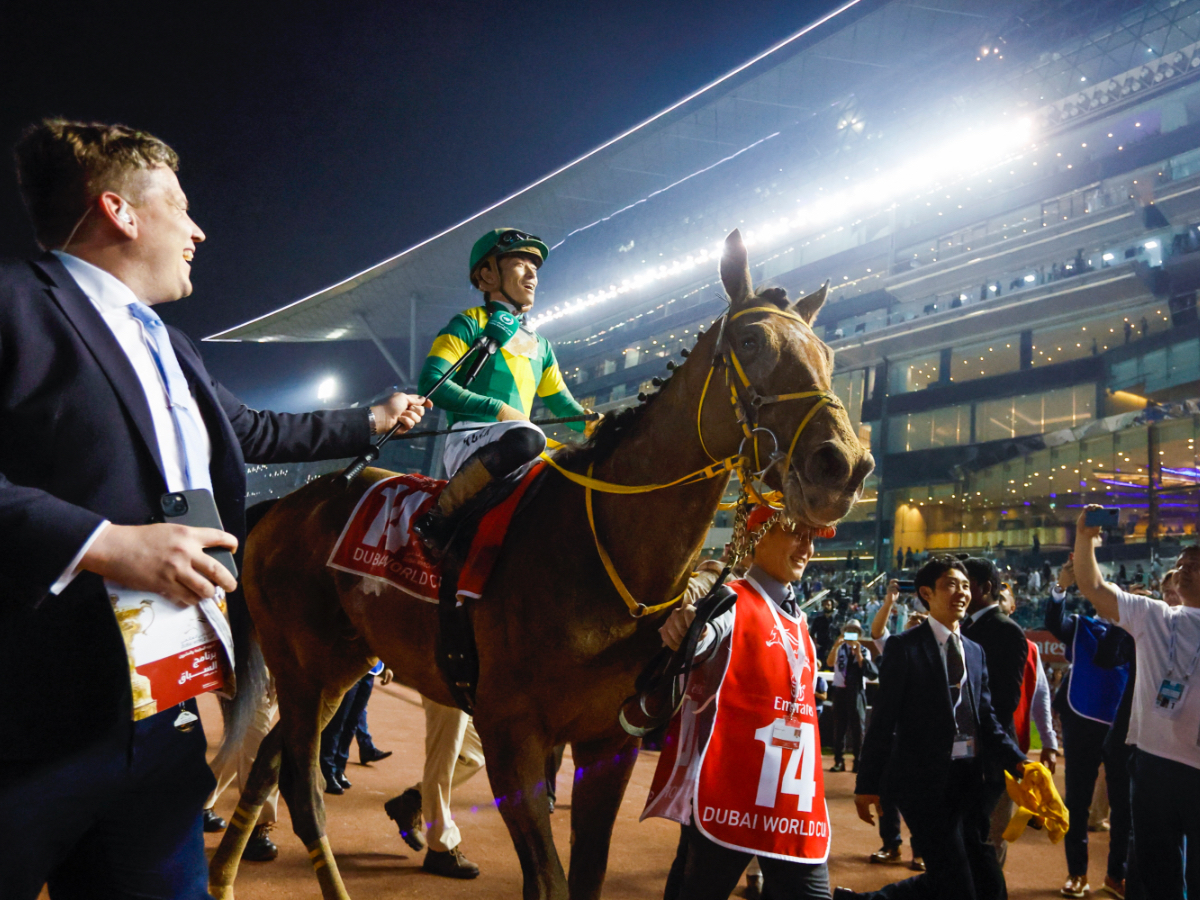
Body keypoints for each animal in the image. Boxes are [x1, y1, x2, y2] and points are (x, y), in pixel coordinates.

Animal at [208, 232, 873, 900]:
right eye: (752, 341)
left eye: (827, 352)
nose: (843, 466)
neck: (598, 549)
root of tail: (284, 503)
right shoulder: (513, 736)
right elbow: (550, 879)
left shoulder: (608, 741)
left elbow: (584, 873)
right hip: (300, 663)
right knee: (302, 791)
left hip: (336, 666)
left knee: (270, 767)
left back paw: (223, 878)